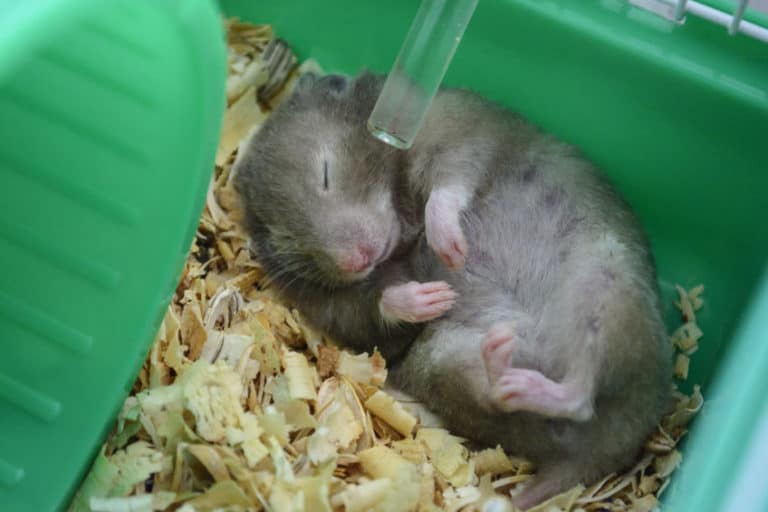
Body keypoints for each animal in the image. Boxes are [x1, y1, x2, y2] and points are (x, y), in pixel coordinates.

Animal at [233, 71, 673, 509]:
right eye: (288, 239)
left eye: (325, 172)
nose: (356, 261)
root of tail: (610, 447)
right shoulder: (330, 303)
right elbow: (368, 305)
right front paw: (431, 297)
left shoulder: (459, 132)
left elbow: (449, 185)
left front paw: (451, 248)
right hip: (444, 359)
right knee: (515, 400)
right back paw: (502, 362)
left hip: (604, 287)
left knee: (582, 390)